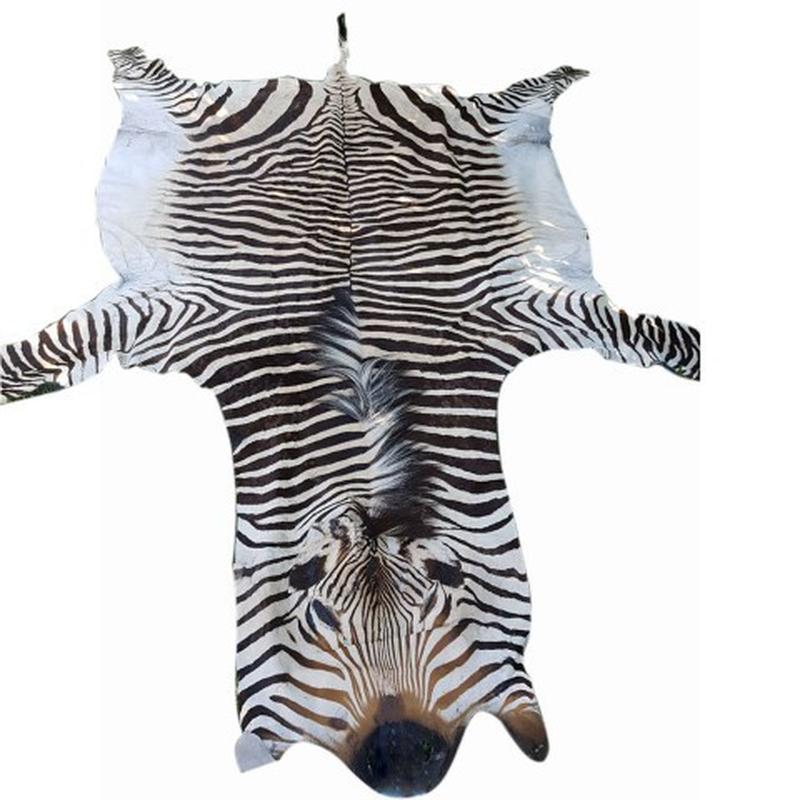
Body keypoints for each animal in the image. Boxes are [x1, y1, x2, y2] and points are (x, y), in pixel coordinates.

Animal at [0, 14, 699, 797]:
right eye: (320, 619)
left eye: (440, 609)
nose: (404, 761)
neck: (368, 460)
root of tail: (339, 86)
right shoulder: (177, 313)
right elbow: (45, 352)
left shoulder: (522, 308)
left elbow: (651, 336)